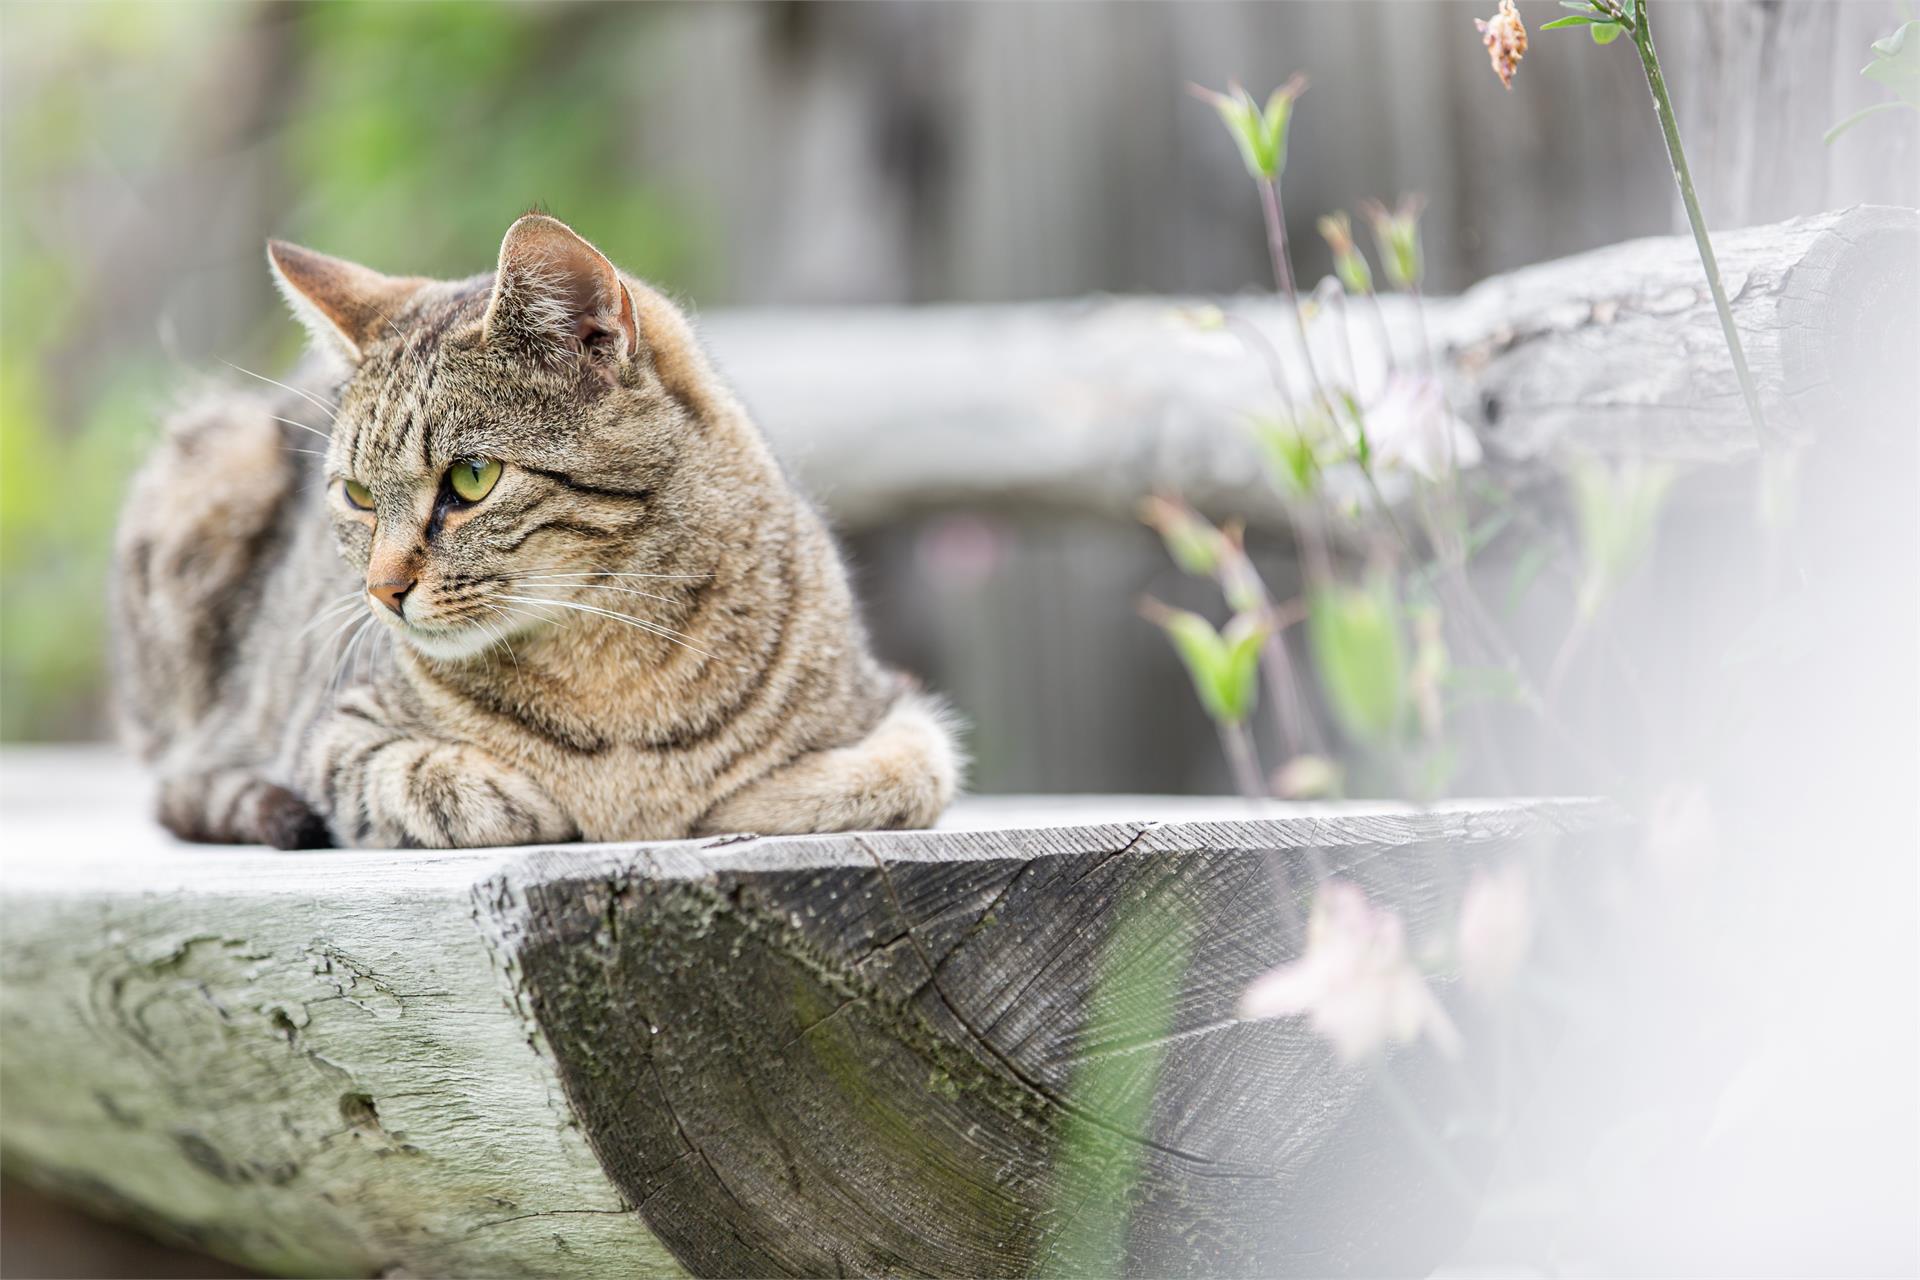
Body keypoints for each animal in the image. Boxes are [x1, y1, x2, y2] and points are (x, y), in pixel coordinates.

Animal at [108, 211, 960, 852]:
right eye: (356, 495)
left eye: (471, 479)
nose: (382, 592)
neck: (614, 662)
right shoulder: (330, 737)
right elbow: (432, 783)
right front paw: (556, 797)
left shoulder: (904, 716)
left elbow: (890, 778)